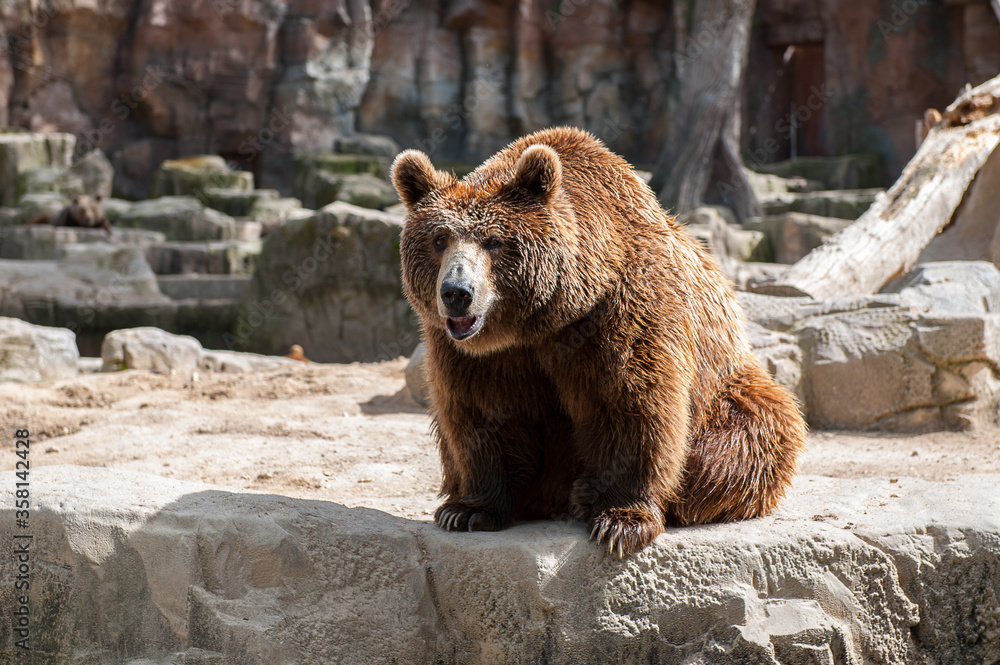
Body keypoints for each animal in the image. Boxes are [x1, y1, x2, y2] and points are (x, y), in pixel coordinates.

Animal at [391, 126, 806, 557]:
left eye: (493, 241)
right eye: (439, 239)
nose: (457, 292)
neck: (540, 321)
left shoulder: (620, 310)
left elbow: (631, 404)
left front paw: (621, 520)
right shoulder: (474, 352)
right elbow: (481, 412)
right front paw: (470, 510)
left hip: (727, 391)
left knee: (752, 435)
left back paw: (587, 493)